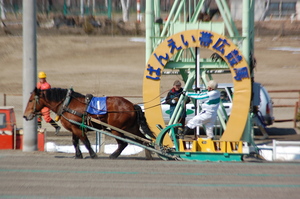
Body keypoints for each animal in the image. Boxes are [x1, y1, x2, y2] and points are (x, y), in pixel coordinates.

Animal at [22, 88, 155, 159]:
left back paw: (113, 155)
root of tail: (132, 105)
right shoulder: (73, 127)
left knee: (123, 143)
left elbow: (85, 141)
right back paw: (150, 154)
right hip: (132, 128)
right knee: (145, 140)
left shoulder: (77, 128)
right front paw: (78, 155)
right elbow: (75, 142)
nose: (25, 115)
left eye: (31, 100)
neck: (67, 104)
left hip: (116, 129)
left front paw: (92, 154)